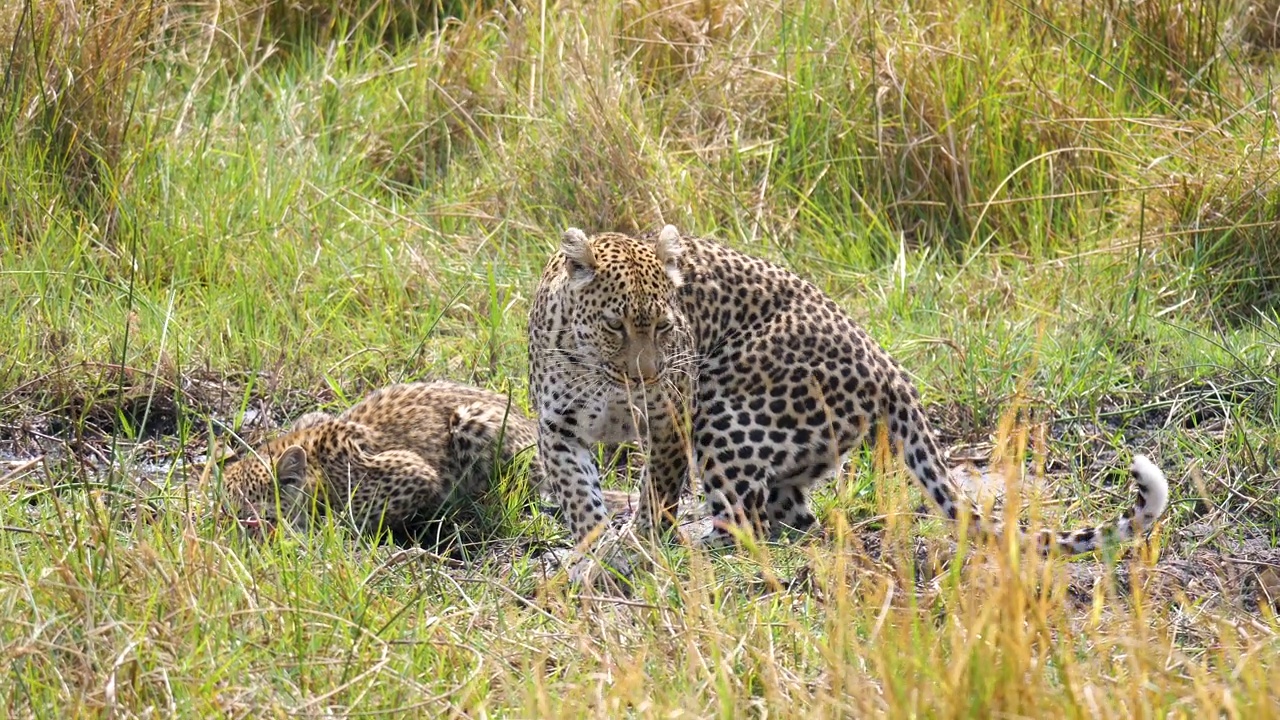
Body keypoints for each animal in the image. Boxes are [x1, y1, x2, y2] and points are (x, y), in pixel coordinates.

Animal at [220, 381, 540, 538]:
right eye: (224, 511)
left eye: (249, 516)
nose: (230, 534)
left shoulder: (414, 472)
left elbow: (352, 516)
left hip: (473, 420)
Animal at [527, 221, 1172, 558]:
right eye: (616, 326)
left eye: (665, 326)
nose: (645, 376)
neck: (596, 371)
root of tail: (887, 363)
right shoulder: (557, 426)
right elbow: (577, 493)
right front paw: (591, 546)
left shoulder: (669, 418)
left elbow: (657, 489)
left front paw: (636, 542)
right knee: (794, 517)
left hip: (724, 409)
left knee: (746, 524)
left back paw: (704, 550)